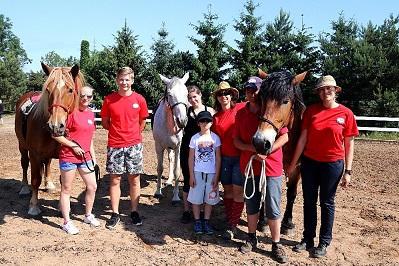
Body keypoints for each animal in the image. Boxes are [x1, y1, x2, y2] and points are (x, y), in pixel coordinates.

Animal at [14, 62, 85, 216]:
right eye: (48, 89)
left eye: (70, 90)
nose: (55, 126)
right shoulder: (34, 154)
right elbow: (35, 179)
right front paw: (33, 206)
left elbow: (64, 180)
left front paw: (63, 207)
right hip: (22, 146)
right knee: (24, 164)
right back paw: (24, 187)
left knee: (47, 164)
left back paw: (49, 184)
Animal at [153, 71, 191, 203]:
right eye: (169, 94)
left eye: (186, 94)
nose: (182, 121)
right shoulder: (159, 146)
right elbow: (160, 168)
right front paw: (158, 192)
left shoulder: (177, 147)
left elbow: (177, 170)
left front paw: (175, 197)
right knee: (170, 159)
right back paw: (168, 181)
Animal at [255, 69, 308, 235]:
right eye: (261, 98)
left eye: (285, 101)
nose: (260, 142)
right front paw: (263, 222)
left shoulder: (297, 168)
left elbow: (291, 193)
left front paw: (287, 223)